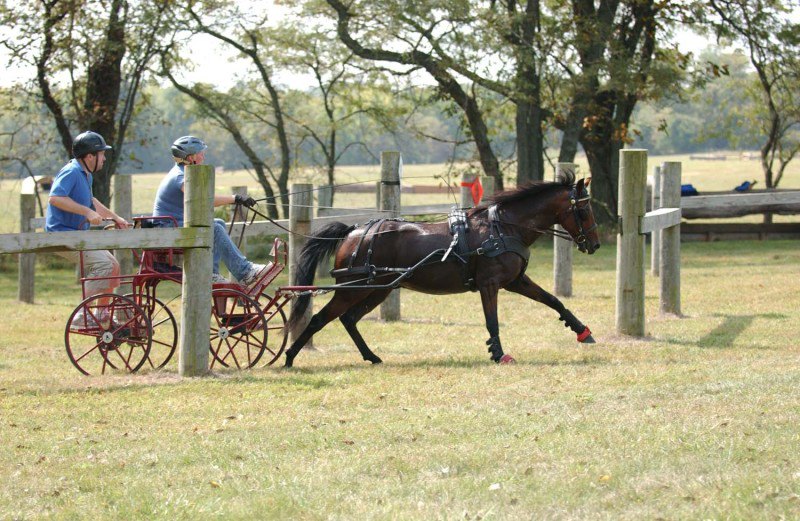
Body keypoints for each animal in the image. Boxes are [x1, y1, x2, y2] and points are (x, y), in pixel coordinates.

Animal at [284, 171, 596, 366]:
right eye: (583, 210)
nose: (594, 244)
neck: (503, 228)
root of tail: (354, 231)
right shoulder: (490, 284)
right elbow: (492, 321)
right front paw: (498, 353)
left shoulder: (516, 280)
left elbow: (553, 300)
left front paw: (582, 331)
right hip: (354, 288)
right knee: (320, 319)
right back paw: (288, 357)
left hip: (379, 289)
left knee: (348, 319)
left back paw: (371, 357)